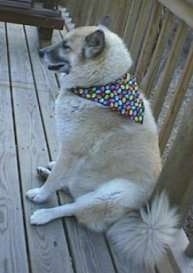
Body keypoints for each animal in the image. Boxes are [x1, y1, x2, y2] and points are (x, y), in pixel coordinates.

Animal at [25, 19, 178, 268]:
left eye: (66, 47)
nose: (40, 52)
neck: (97, 86)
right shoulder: (69, 152)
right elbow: (59, 172)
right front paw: (50, 169)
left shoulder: (72, 151)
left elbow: (56, 179)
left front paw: (41, 194)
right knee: (72, 188)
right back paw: (46, 172)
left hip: (111, 194)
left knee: (72, 207)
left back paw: (44, 214)